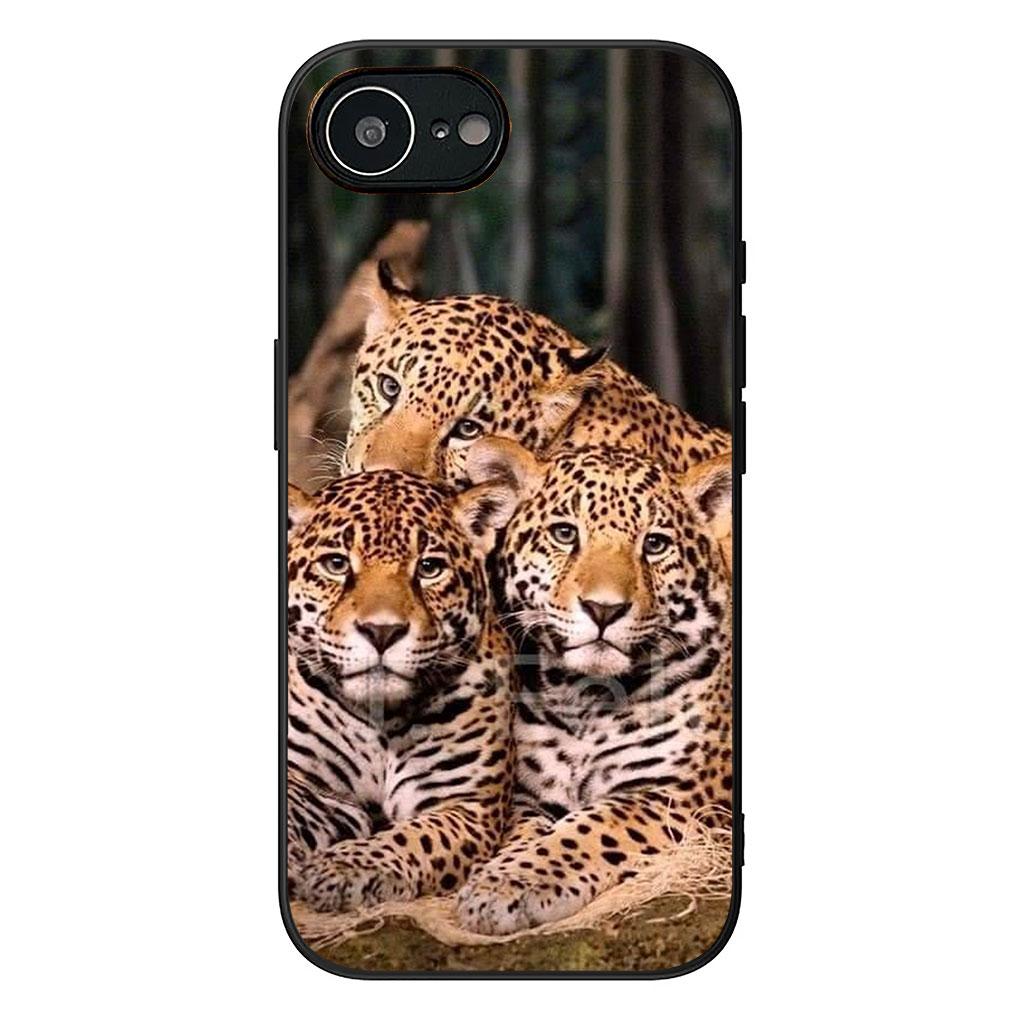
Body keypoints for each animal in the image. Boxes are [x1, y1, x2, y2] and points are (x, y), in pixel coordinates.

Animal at [286, 468, 522, 912]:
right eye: (335, 564)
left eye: (429, 568)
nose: (382, 631)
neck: (383, 715)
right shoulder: (312, 786)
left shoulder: (467, 806)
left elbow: (413, 838)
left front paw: (344, 868)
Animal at [453, 438, 733, 935]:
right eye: (565, 534)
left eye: (655, 544)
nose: (604, 609)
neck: (585, 700)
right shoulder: (530, 794)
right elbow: (526, 834)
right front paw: (499, 873)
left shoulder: (673, 794)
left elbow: (589, 829)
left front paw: (509, 885)